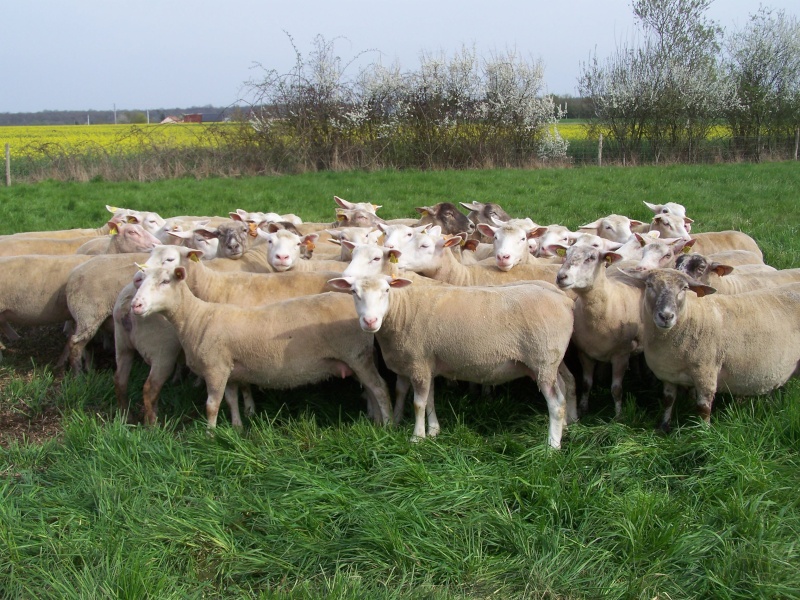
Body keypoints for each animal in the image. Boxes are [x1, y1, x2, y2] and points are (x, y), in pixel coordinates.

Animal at [131, 264, 394, 428]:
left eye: (165, 281)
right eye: (140, 280)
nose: (136, 305)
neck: (196, 318)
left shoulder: (215, 368)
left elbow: (211, 406)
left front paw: (209, 435)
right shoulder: (229, 369)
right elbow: (231, 399)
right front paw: (236, 426)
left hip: (356, 355)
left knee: (380, 388)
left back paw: (387, 424)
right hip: (358, 358)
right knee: (371, 389)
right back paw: (375, 419)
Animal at [328, 274, 580, 448]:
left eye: (387, 290)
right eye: (353, 292)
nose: (369, 321)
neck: (402, 311)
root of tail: (564, 299)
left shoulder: (418, 362)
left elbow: (418, 403)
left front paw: (417, 437)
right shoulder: (425, 363)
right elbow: (426, 399)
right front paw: (430, 430)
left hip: (543, 358)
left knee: (556, 404)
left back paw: (552, 446)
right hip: (550, 362)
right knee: (564, 387)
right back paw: (565, 429)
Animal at [624, 268, 800, 432]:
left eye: (684, 288)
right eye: (649, 285)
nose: (666, 316)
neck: (688, 318)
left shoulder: (706, 373)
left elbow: (703, 408)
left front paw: (704, 433)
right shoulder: (669, 374)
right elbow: (668, 400)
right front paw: (663, 427)